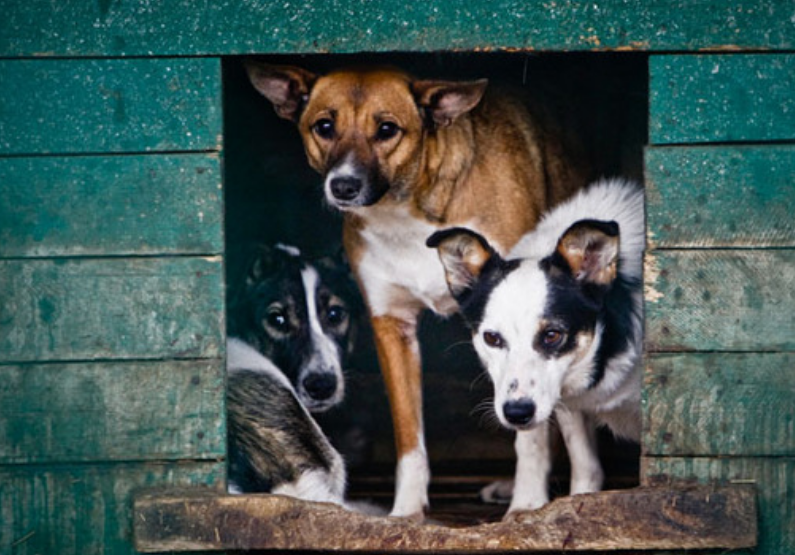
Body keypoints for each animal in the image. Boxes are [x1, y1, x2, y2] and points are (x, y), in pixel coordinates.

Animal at [247, 62, 592, 520]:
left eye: (387, 129)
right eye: (324, 126)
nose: (343, 186)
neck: (409, 213)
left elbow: (530, 434)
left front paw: (529, 503)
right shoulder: (392, 327)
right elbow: (409, 435)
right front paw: (407, 512)